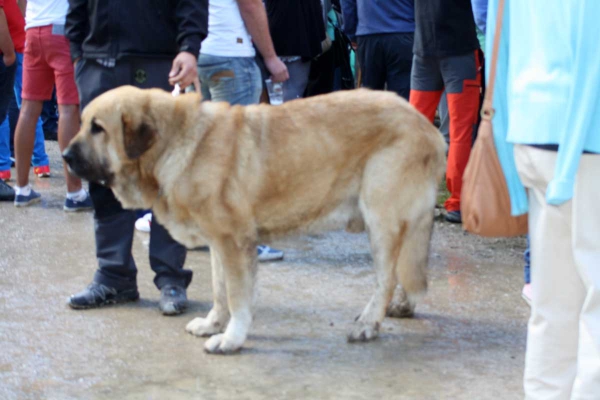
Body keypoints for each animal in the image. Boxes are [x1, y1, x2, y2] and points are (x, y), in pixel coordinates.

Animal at [63, 86, 446, 354]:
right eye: (83, 124)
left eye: (98, 128)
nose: (65, 155)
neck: (177, 143)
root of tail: (427, 125)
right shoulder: (218, 244)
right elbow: (219, 292)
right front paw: (213, 324)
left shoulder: (233, 243)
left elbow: (236, 297)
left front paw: (231, 339)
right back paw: (401, 307)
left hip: (381, 219)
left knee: (387, 277)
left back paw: (369, 323)